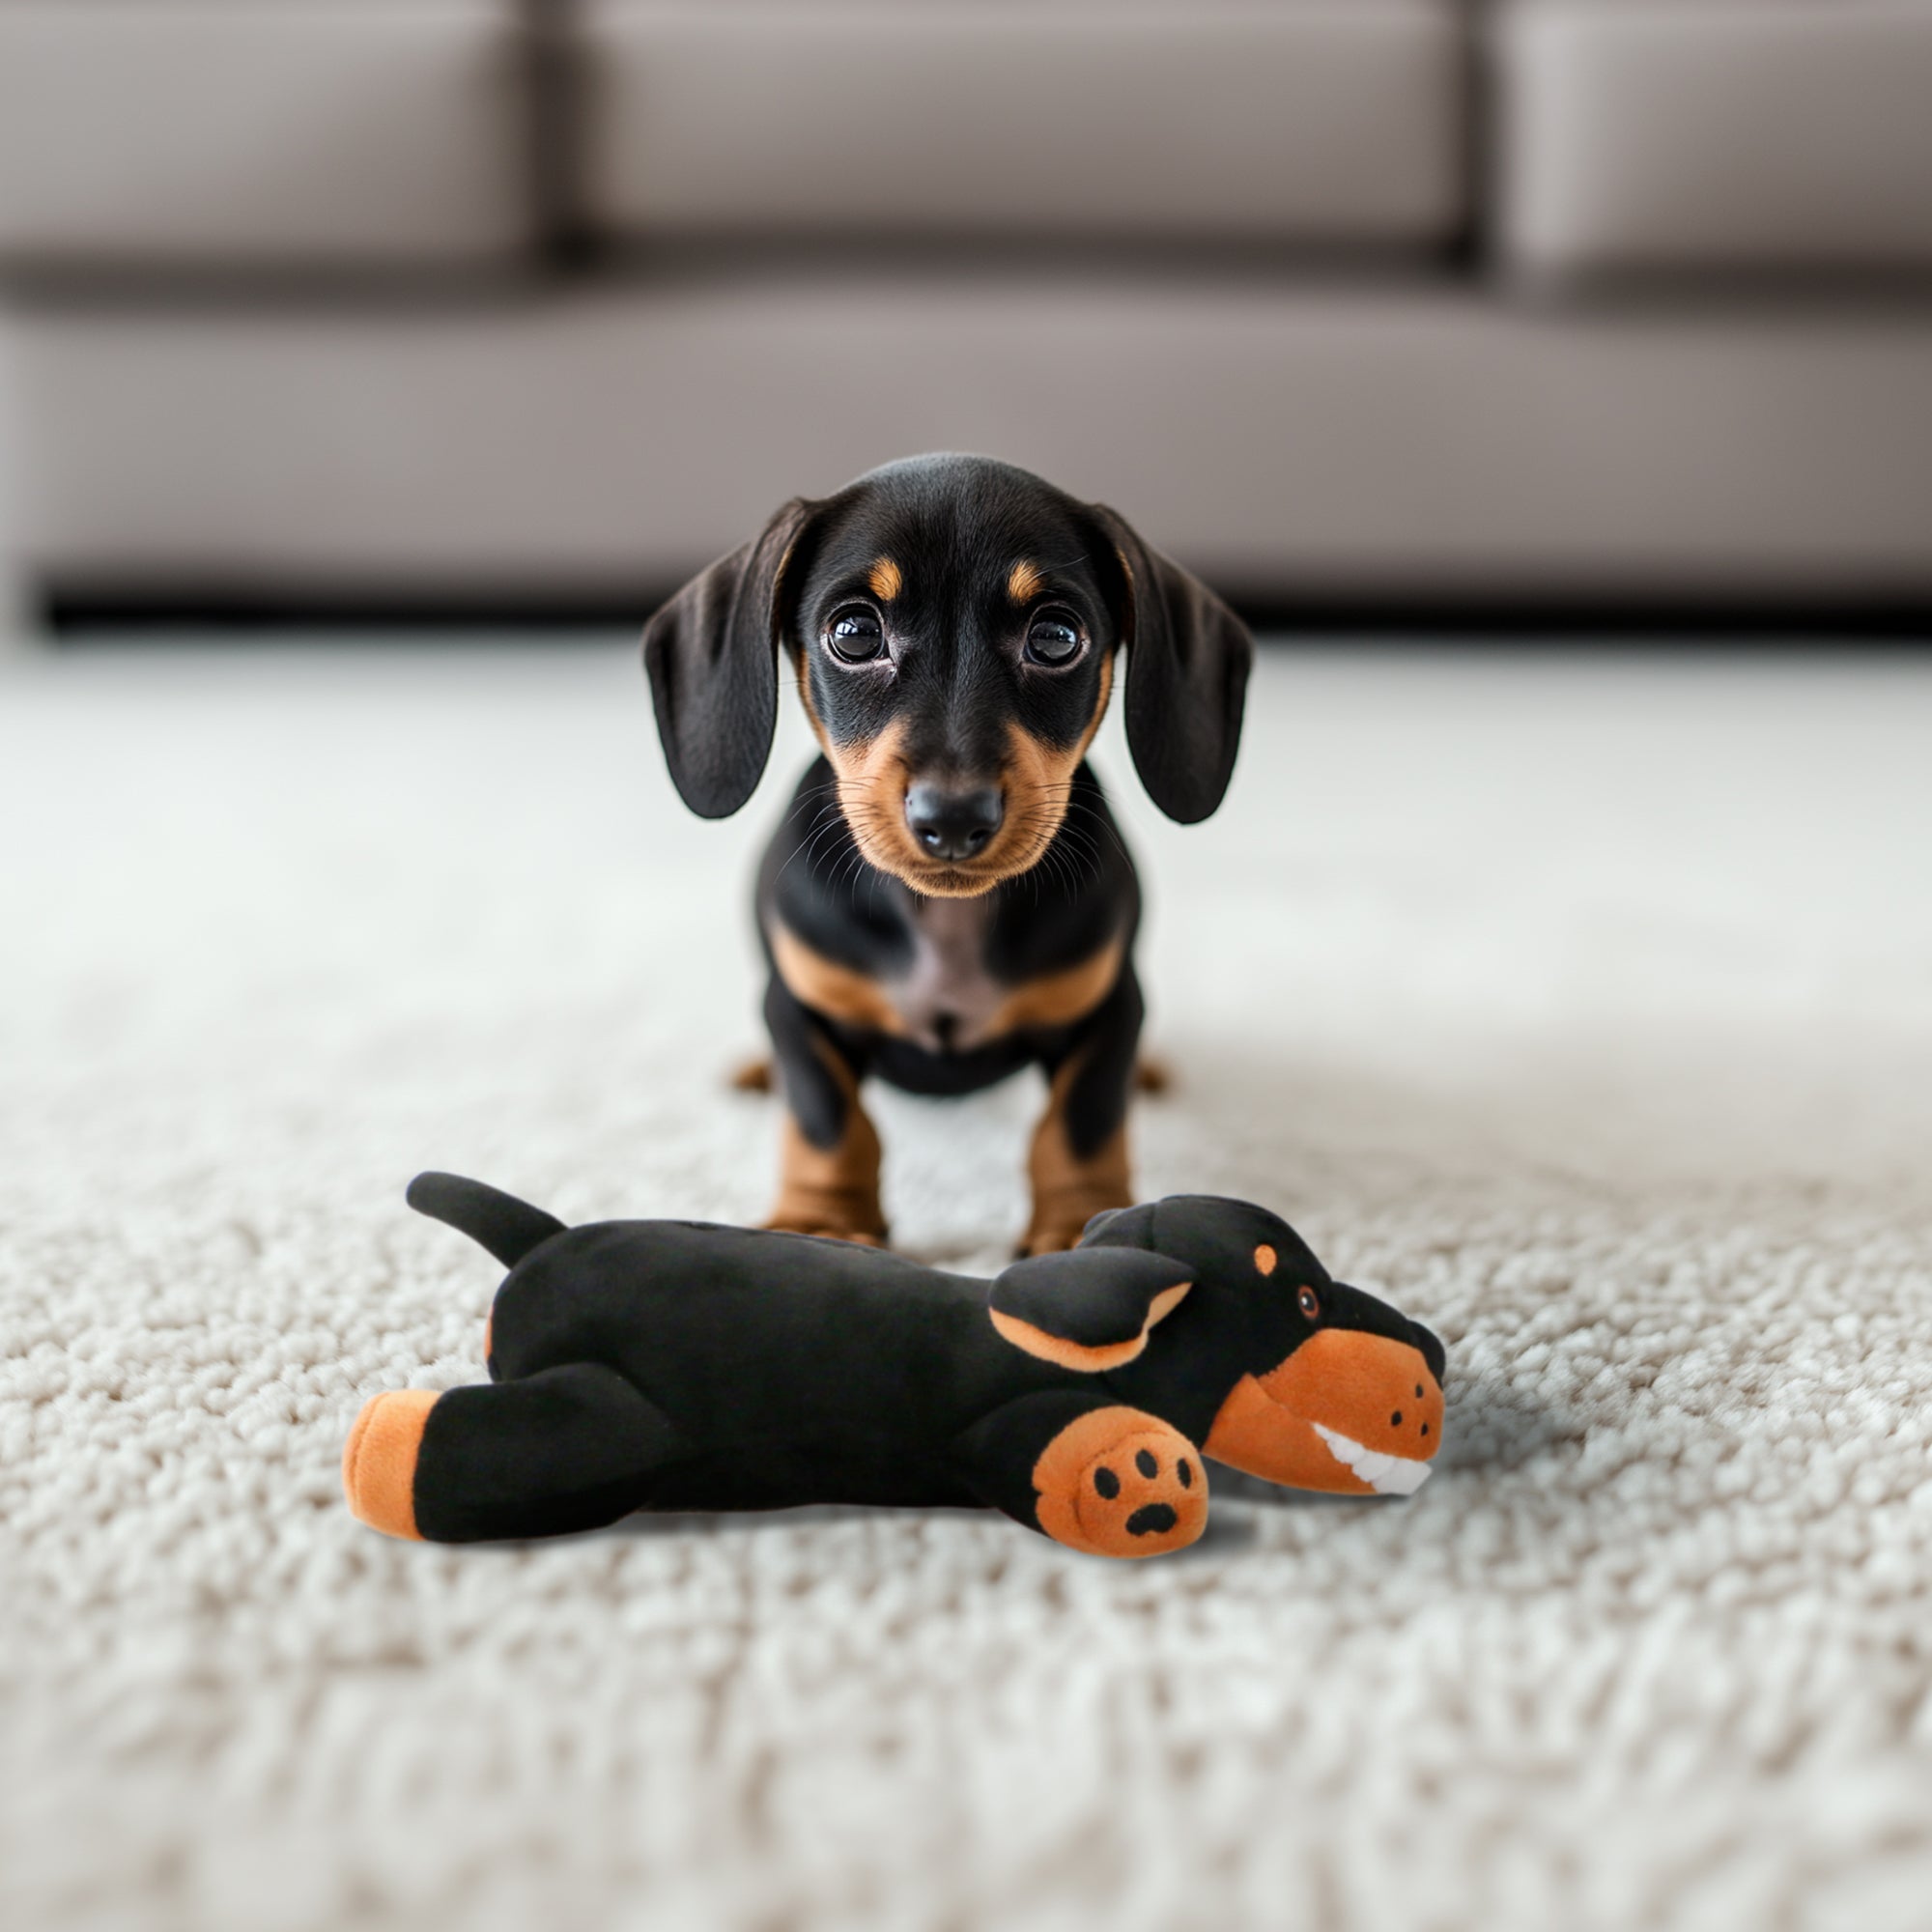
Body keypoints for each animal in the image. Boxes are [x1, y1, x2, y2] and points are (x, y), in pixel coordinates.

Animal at [645, 452, 1252, 1252]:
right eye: (853, 633)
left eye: (1056, 638)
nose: (954, 819)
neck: (946, 920)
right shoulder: (796, 1008)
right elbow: (828, 1119)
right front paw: (823, 1222)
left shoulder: (1113, 1007)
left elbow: (1081, 1122)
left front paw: (1079, 1225)